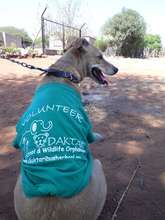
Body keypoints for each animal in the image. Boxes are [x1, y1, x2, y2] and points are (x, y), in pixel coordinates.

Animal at [13, 38, 118, 220]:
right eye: (100, 56)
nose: (117, 69)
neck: (64, 72)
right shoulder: (85, 121)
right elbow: (91, 134)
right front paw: (98, 136)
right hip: (98, 166)